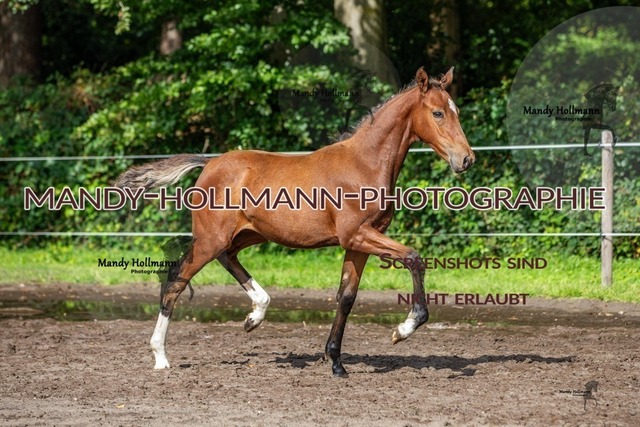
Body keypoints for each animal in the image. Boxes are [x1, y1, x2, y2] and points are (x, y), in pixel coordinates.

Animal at [115, 67, 475, 377]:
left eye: (456, 111)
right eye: (438, 113)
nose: (466, 159)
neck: (365, 164)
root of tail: (210, 163)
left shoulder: (360, 242)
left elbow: (347, 297)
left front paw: (336, 363)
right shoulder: (357, 235)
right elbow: (414, 258)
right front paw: (403, 329)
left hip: (248, 235)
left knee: (227, 258)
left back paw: (255, 315)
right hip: (210, 239)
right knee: (176, 278)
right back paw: (161, 356)